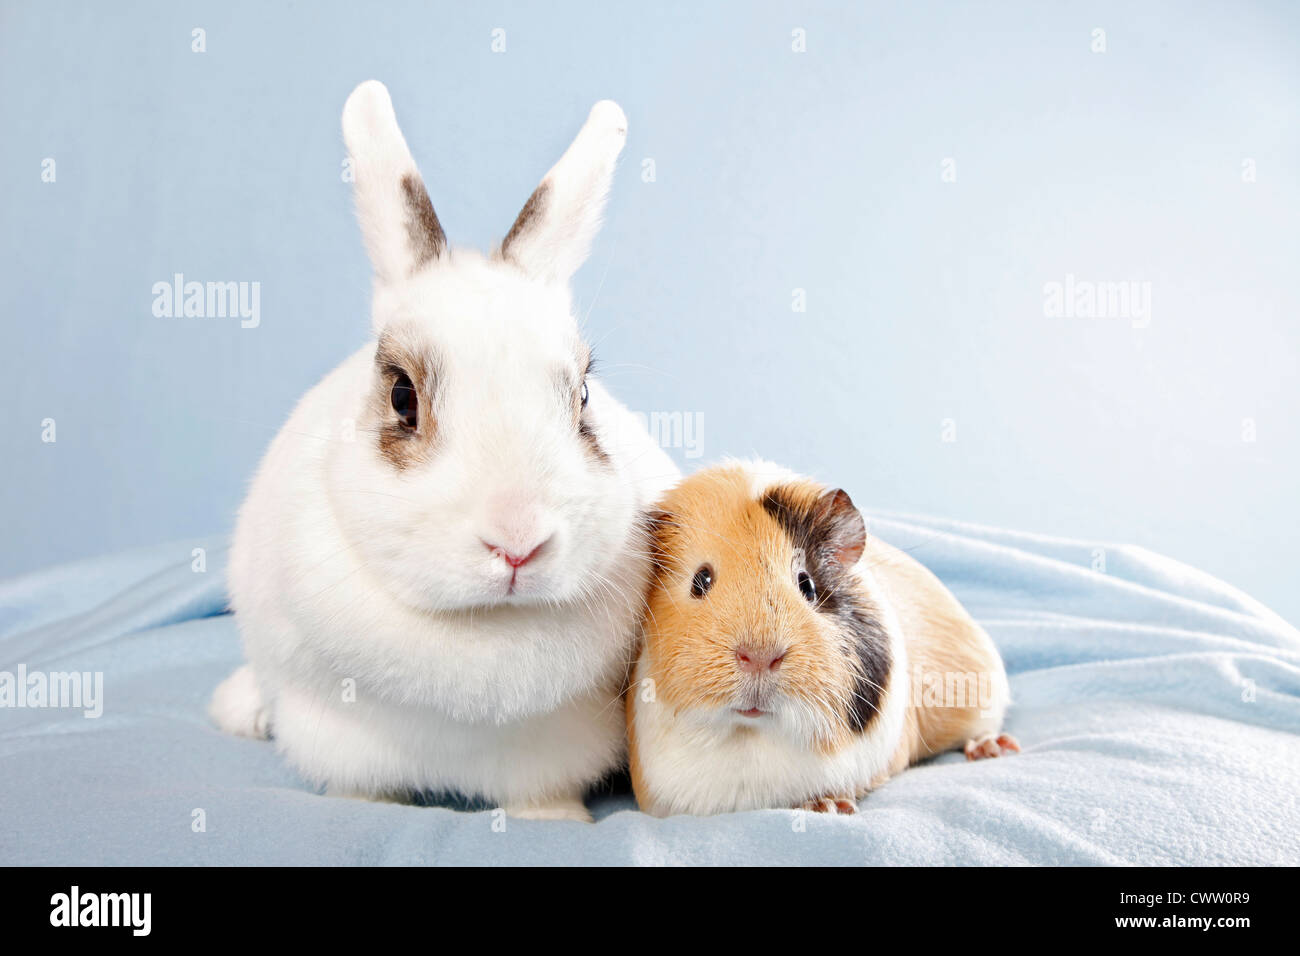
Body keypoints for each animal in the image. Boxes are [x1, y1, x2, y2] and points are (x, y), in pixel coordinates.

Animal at [208, 80, 681, 822]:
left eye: (581, 398)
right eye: (403, 396)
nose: (517, 543)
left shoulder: (550, 754)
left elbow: (544, 796)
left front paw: (560, 820)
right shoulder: (335, 735)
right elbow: (359, 789)